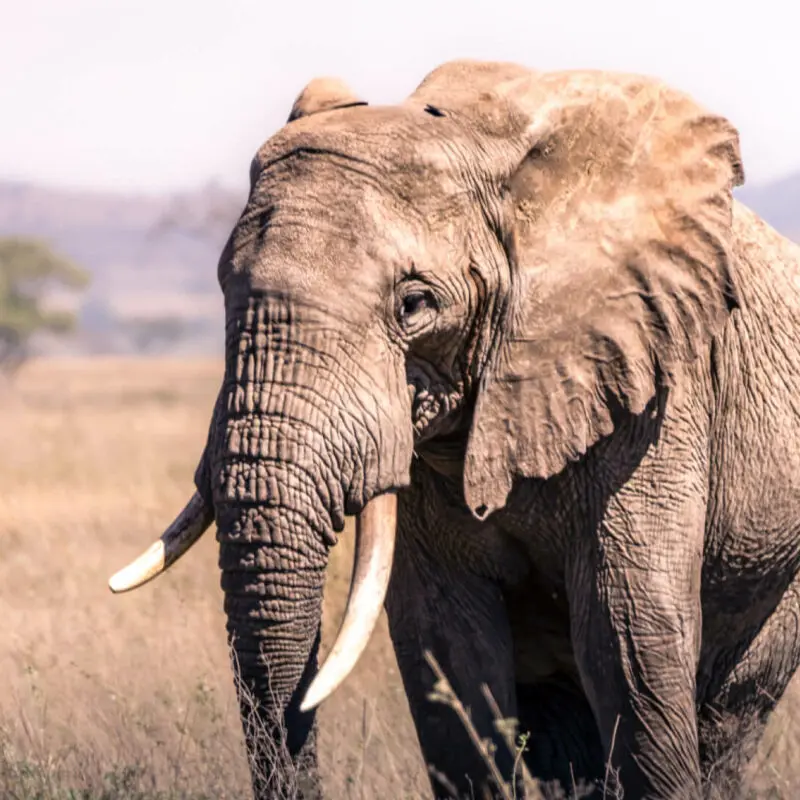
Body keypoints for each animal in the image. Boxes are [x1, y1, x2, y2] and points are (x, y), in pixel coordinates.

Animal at [109, 60, 800, 799]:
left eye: (414, 305)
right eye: (223, 287)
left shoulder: (654, 391)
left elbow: (629, 642)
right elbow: (449, 651)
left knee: (727, 713)